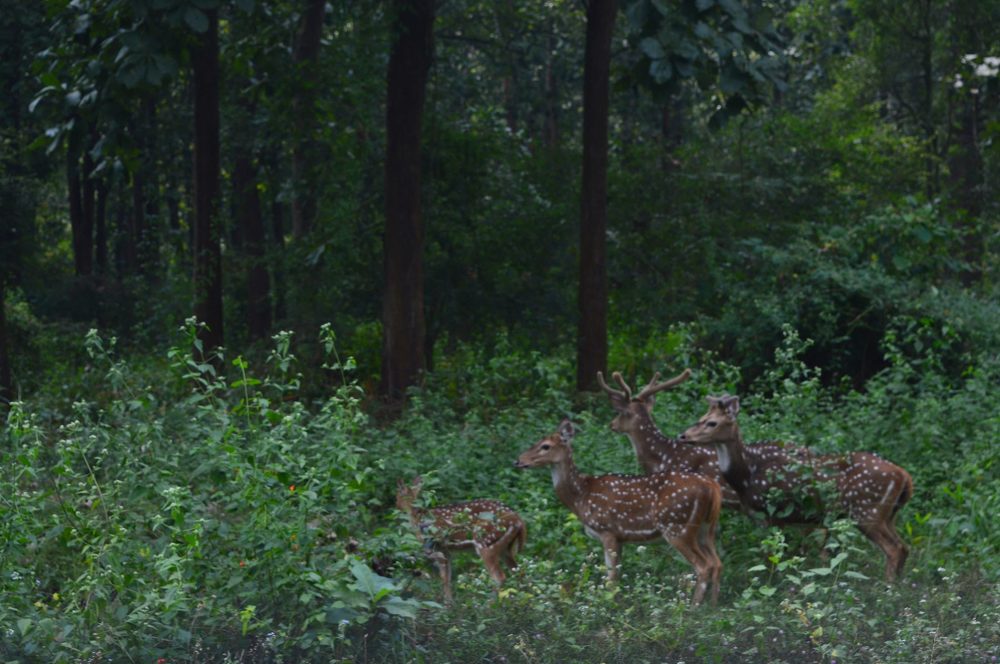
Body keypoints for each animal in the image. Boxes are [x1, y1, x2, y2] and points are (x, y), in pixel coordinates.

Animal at [395, 477, 527, 602]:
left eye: (397, 495)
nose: (396, 504)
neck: (417, 518)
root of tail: (518, 521)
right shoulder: (445, 550)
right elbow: (447, 577)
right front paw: (450, 604)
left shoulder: (434, 546)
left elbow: (443, 577)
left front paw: (447, 605)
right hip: (505, 548)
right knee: (519, 572)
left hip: (486, 543)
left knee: (499, 577)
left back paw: (488, 604)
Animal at [514, 419, 723, 605]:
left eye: (545, 446)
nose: (518, 461)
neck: (581, 496)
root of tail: (712, 487)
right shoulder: (621, 538)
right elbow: (617, 576)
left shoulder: (608, 530)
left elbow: (611, 578)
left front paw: (609, 607)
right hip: (706, 528)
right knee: (716, 562)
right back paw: (712, 607)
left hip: (677, 526)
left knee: (703, 565)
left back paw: (693, 609)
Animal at [679, 395, 913, 581]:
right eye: (701, 417)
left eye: (712, 422)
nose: (683, 435)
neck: (746, 476)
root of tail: (905, 477)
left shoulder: (772, 512)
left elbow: (772, 556)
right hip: (887, 514)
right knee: (903, 546)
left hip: (867, 510)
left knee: (893, 549)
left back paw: (887, 587)